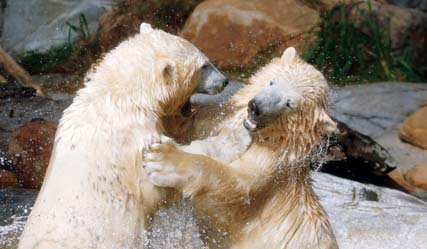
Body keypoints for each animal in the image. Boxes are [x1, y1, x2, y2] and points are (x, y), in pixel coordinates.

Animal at [147, 47, 342, 249]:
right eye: (272, 81)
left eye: (289, 104)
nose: (256, 107)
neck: (267, 137)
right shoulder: (218, 119)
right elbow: (188, 127)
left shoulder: (271, 167)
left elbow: (235, 196)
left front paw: (165, 160)